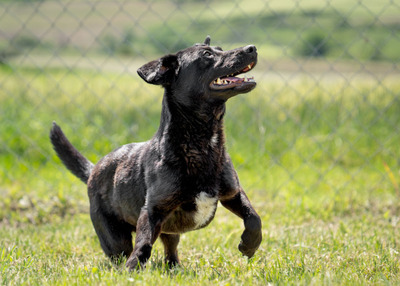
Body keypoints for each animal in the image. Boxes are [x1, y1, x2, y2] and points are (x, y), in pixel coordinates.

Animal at [50, 35, 262, 270]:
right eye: (207, 55)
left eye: (220, 49)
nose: (252, 48)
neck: (202, 144)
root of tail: (94, 169)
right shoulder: (152, 211)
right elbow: (143, 244)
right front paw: (132, 269)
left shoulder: (232, 193)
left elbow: (254, 218)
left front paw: (249, 245)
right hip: (115, 238)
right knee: (122, 253)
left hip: (168, 232)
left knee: (170, 250)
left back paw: (174, 268)